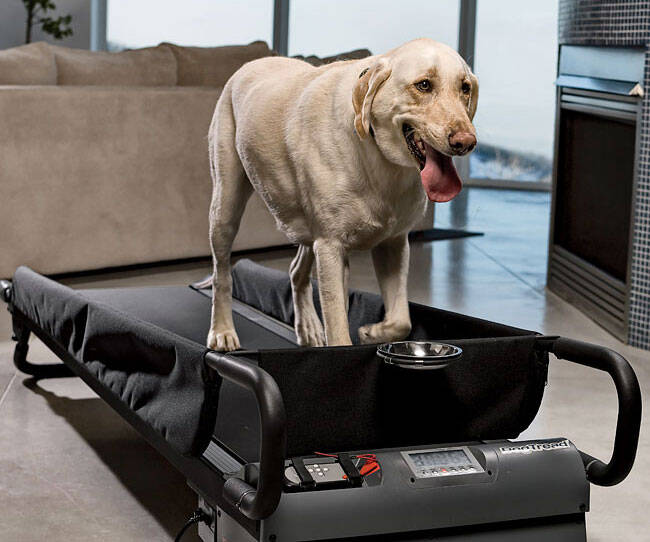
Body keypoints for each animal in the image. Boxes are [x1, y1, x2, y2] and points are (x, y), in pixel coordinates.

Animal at [208, 38, 476, 352]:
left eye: (465, 88)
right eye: (423, 85)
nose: (466, 142)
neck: (378, 158)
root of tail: (253, 62)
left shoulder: (394, 243)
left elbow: (401, 321)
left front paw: (373, 333)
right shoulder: (331, 248)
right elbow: (337, 327)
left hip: (307, 229)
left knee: (296, 271)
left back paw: (308, 328)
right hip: (226, 208)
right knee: (222, 274)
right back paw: (222, 331)